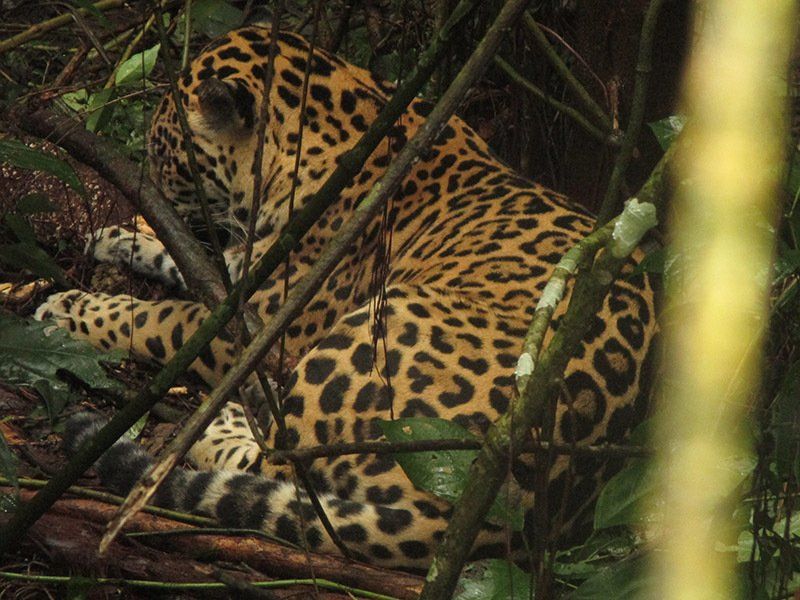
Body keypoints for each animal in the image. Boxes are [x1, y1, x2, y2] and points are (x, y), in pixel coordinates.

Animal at [37, 25, 657, 570]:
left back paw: (220, 422)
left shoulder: (272, 328)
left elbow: (169, 320)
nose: (148, 181)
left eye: (165, 151)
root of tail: (496, 506)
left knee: (281, 464)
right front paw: (118, 237)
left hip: (368, 337)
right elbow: (196, 265)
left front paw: (67, 311)